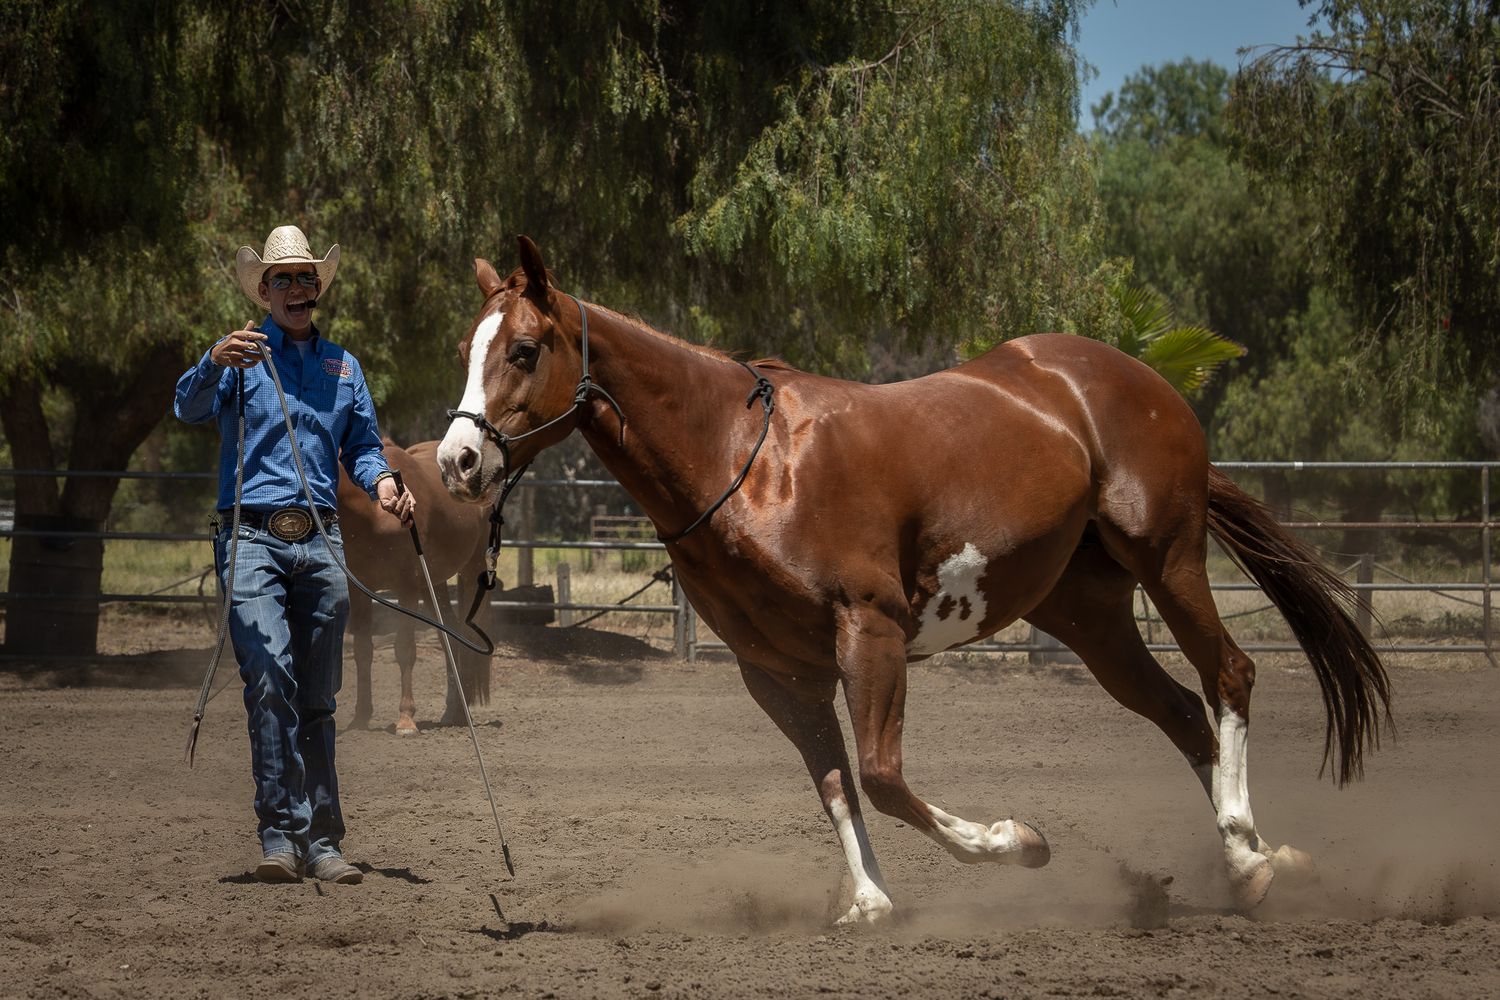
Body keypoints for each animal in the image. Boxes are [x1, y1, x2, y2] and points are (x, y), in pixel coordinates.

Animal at [338, 439, 494, 734]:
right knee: (449, 633)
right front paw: (360, 718)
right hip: (433, 582)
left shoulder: (407, 585)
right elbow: (363, 650)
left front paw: (406, 719)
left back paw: (463, 709)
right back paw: (453, 709)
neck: (371, 511)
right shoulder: (360, 588)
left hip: (471, 570)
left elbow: (404, 649)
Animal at [435, 236, 1392, 924]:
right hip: (1089, 615)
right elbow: (836, 783)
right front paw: (869, 901)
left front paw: (1018, 842)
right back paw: (1251, 860)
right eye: (465, 347)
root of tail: (1132, 375)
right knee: (1182, 712)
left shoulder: (872, 632)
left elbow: (885, 778)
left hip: (1168, 556)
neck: (749, 466)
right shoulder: (776, 673)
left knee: (1228, 675)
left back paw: (1249, 855)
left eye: (524, 349)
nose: (457, 460)